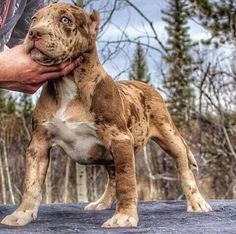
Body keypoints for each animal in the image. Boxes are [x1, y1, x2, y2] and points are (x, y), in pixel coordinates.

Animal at [0, 2, 212, 228]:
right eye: (34, 19)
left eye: (65, 20)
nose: (34, 33)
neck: (66, 85)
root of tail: (146, 86)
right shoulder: (39, 144)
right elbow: (31, 184)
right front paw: (21, 214)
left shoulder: (120, 139)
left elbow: (127, 182)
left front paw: (124, 216)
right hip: (110, 154)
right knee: (112, 177)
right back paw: (102, 203)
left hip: (168, 134)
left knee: (183, 166)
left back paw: (197, 202)